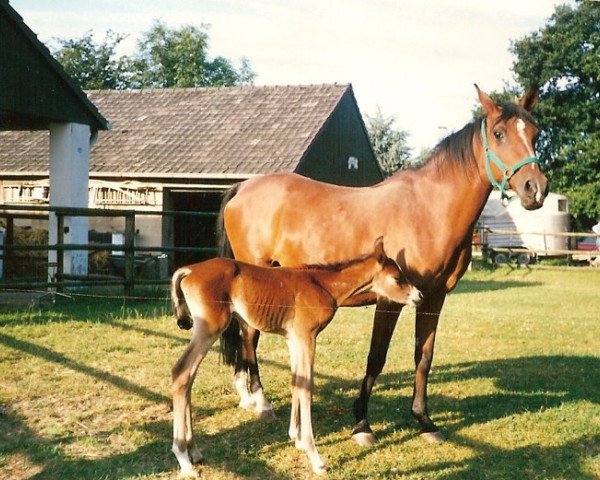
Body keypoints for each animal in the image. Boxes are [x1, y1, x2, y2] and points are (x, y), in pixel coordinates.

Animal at [170, 238, 422, 478]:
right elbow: (306, 386)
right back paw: (183, 458)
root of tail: (189, 270)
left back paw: (194, 451)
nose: (419, 296)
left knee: (188, 378)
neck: (324, 285)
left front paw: (297, 437)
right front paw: (315, 457)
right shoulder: (306, 336)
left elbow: (296, 382)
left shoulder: (293, 339)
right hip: (210, 328)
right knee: (180, 372)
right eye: (398, 277)